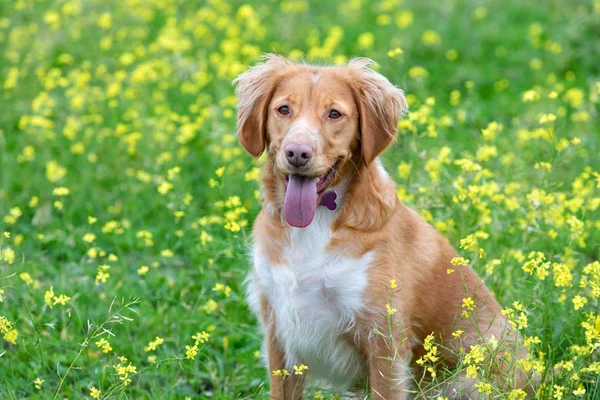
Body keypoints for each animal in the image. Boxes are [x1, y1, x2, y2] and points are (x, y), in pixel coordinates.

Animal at [234, 54, 528, 398]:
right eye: (283, 109)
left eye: (334, 113)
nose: (297, 152)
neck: (315, 225)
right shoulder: (279, 331)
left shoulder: (384, 339)